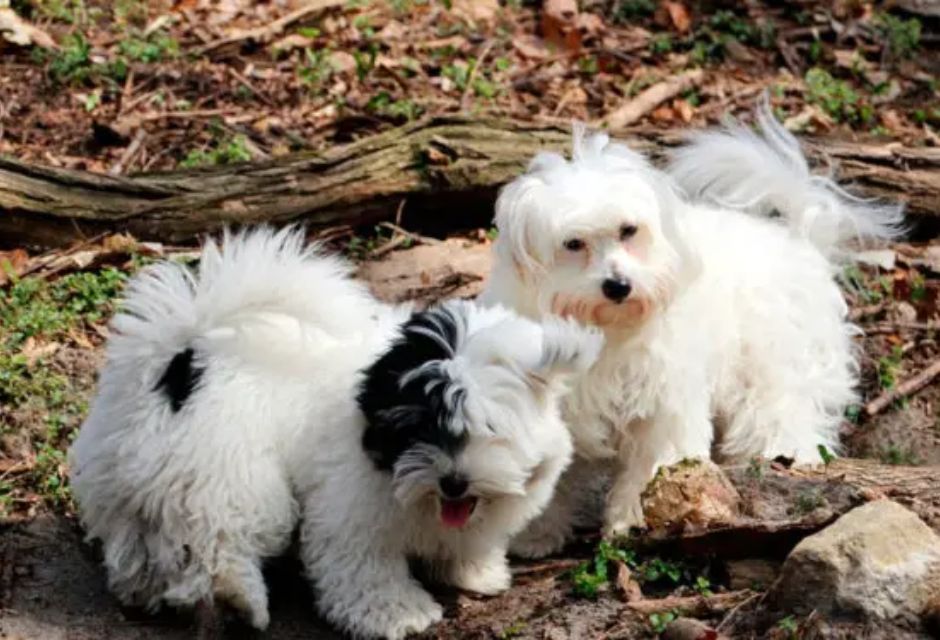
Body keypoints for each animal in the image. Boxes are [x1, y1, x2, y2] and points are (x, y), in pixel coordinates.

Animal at [68, 228, 604, 636]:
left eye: (490, 429)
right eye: (418, 427)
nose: (453, 482)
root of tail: (182, 359)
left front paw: (474, 572)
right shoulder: (352, 509)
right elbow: (366, 567)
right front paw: (397, 615)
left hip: (131, 472)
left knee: (138, 535)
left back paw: (143, 587)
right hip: (231, 471)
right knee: (221, 541)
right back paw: (242, 600)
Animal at [484, 106, 904, 552]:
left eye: (629, 230)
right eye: (573, 244)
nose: (618, 285)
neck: (607, 331)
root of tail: (799, 240)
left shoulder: (664, 403)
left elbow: (653, 462)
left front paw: (635, 520)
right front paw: (533, 533)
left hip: (777, 373)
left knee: (780, 420)